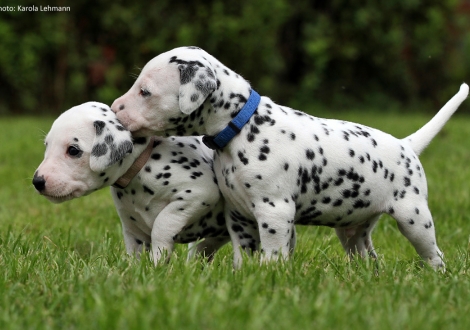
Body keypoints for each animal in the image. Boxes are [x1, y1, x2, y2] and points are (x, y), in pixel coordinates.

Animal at [32, 102, 230, 264]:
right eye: (47, 145)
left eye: (73, 150)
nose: (37, 181)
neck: (145, 161)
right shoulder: (133, 230)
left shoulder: (200, 192)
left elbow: (162, 224)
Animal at [110, 46, 466, 270]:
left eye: (145, 92)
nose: (114, 108)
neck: (242, 127)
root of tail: (406, 145)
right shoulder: (238, 216)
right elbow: (242, 254)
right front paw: (243, 277)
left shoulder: (275, 212)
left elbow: (272, 251)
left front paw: (269, 275)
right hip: (353, 229)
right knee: (367, 256)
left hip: (414, 218)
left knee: (433, 254)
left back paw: (437, 276)